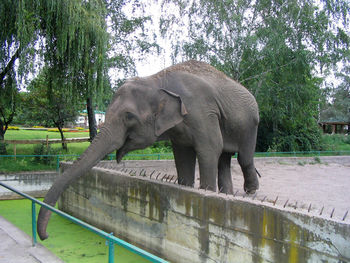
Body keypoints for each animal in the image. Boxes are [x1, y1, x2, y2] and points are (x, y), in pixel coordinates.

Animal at [37, 59, 258, 241]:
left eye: (128, 116)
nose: (46, 236)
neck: (157, 79)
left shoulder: (202, 112)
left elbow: (209, 149)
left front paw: (206, 193)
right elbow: (183, 155)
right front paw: (187, 188)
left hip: (251, 125)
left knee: (243, 158)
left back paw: (250, 193)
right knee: (225, 159)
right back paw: (229, 194)